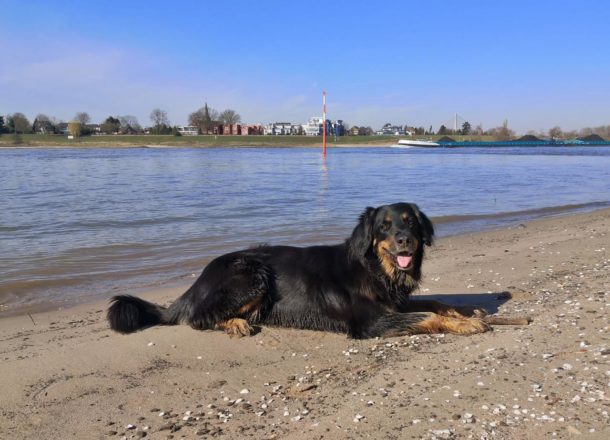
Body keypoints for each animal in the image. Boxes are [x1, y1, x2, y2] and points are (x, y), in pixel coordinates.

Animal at [107, 201, 494, 338]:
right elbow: (426, 315)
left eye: (410, 221)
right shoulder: (370, 322)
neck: (375, 269)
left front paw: (465, 312)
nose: (405, 241)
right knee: (199, 317)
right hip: (250, 273)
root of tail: (197, 280)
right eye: (384, 227)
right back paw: (234, 323)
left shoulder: (393, 303)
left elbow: (434, 303)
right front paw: (466, 323)